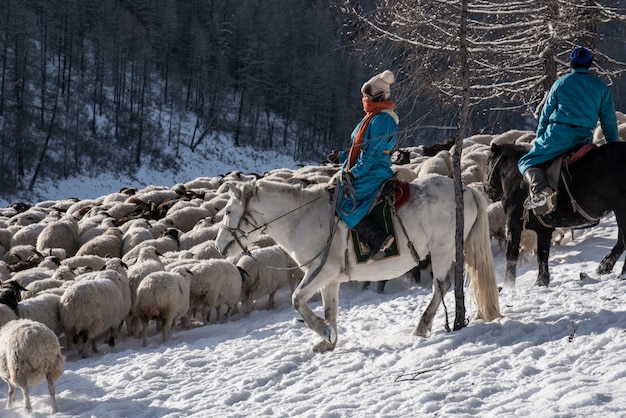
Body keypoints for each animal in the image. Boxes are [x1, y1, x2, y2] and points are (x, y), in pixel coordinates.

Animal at [217, 174, 500, 352]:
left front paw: (324, 332)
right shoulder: (329, 280)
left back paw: (422, 327)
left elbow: (297, 300)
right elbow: (330, 309)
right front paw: (328, 341)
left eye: (229, 211)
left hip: (442, 249)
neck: (301, 218)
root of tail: (466, 190)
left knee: (440, 285)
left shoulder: (321, 271)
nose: (219, 246)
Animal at [486, 142, 624, 290]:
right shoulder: (543, 229)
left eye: (488, 162)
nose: (487, 190)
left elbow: (511, 256)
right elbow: (542, 255)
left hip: (620, 208)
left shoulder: (514, 224)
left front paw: (508, 285)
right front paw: (541, 282)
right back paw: (605, 267)